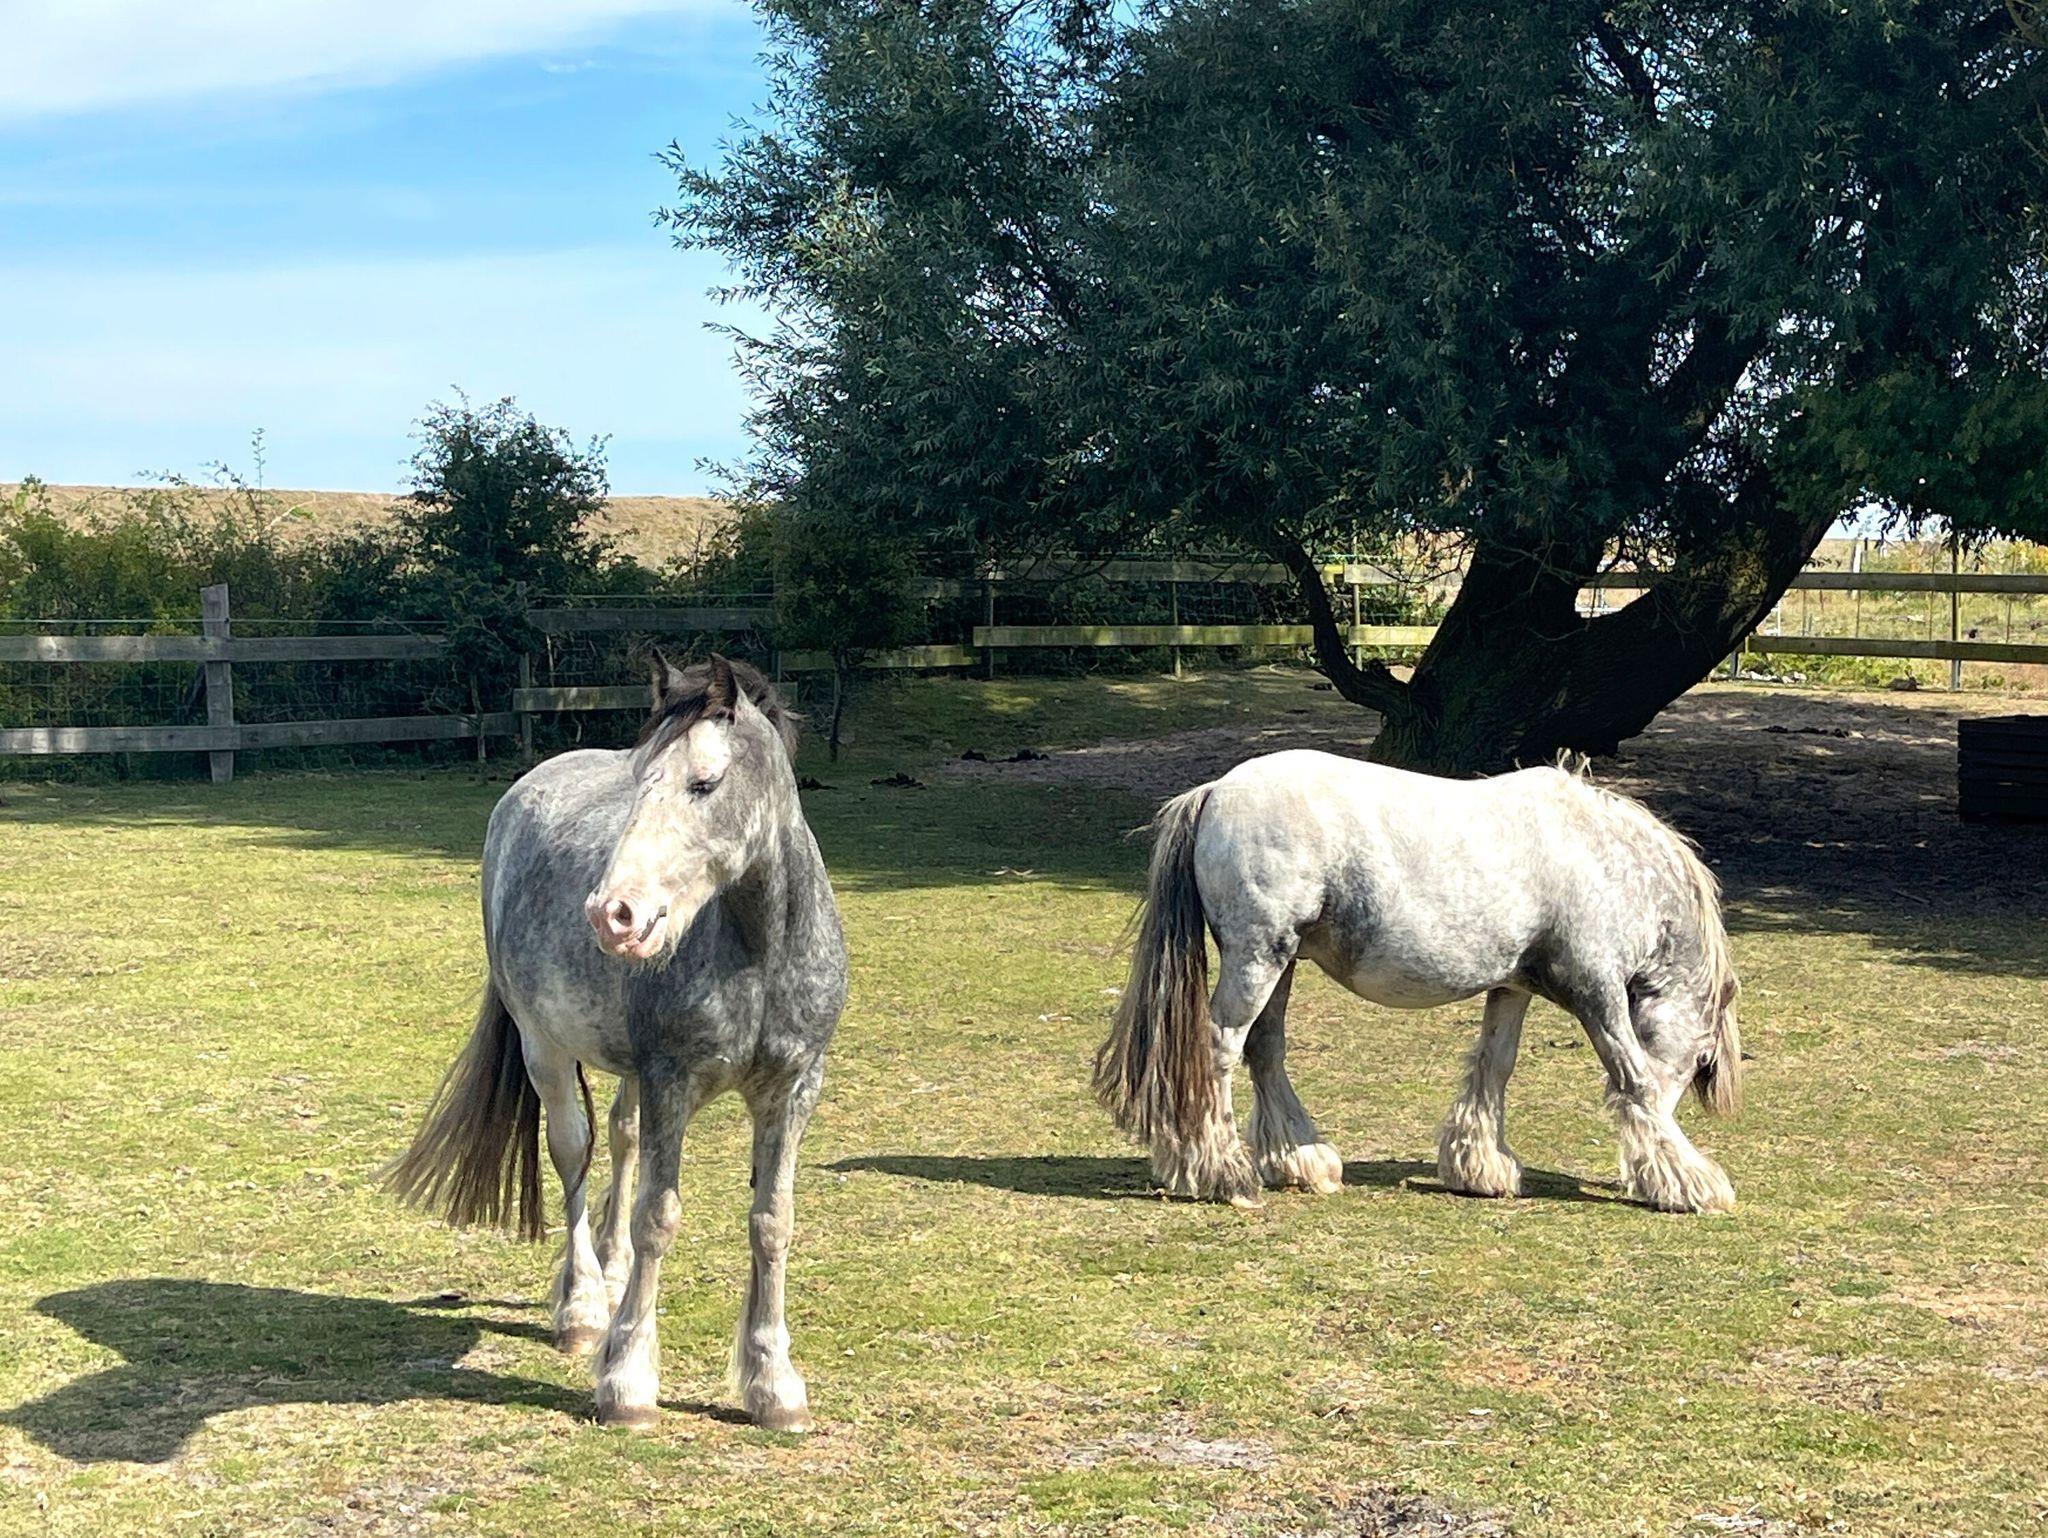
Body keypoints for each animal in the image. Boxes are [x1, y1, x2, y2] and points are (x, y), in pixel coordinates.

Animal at [385, 654, 847, 1432]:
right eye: (640, 781)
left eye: (705, 783)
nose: (613, 914)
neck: (757, 953)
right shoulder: (671, 1082)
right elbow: (658, 1216)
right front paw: (628, 1380)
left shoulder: (791, 1088)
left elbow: (772, 1221)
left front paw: (773, 1383)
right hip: (545, 1050)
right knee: (573, 1154)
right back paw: (584, 1307)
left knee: (624, 1142)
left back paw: (615, 1269)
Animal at [1093, 751, 1742, 1214]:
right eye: (1702, 1059)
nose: (1628, 1176)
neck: (1601, 860)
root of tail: (1214, 792)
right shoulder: (1596, 992)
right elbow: (1635, 1079)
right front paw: (1690, 1182)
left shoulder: (1512, 988)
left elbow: (1494, 1066)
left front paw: (1480, 1168)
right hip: (1258, 958)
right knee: (1220, 1049)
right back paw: (1221, 1173)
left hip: (1282, 963)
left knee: (1266, 1051)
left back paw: (1301, 1161)